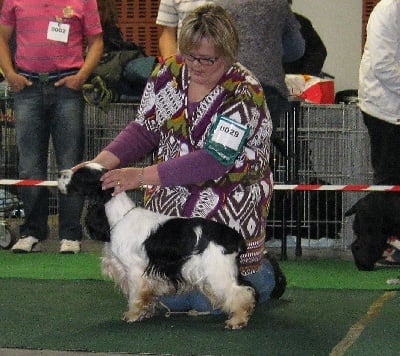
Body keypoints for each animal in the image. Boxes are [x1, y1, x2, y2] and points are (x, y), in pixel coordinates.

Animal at [57, 163, 255, 330]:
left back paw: (237, 320)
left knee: (240, 292)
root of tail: (234, 237)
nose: (59, 174)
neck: (117, 216)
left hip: (216, 271)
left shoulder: (134, 270)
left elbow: (135, 295)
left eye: (79, 175)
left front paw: (133, 315)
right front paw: (146, 312)